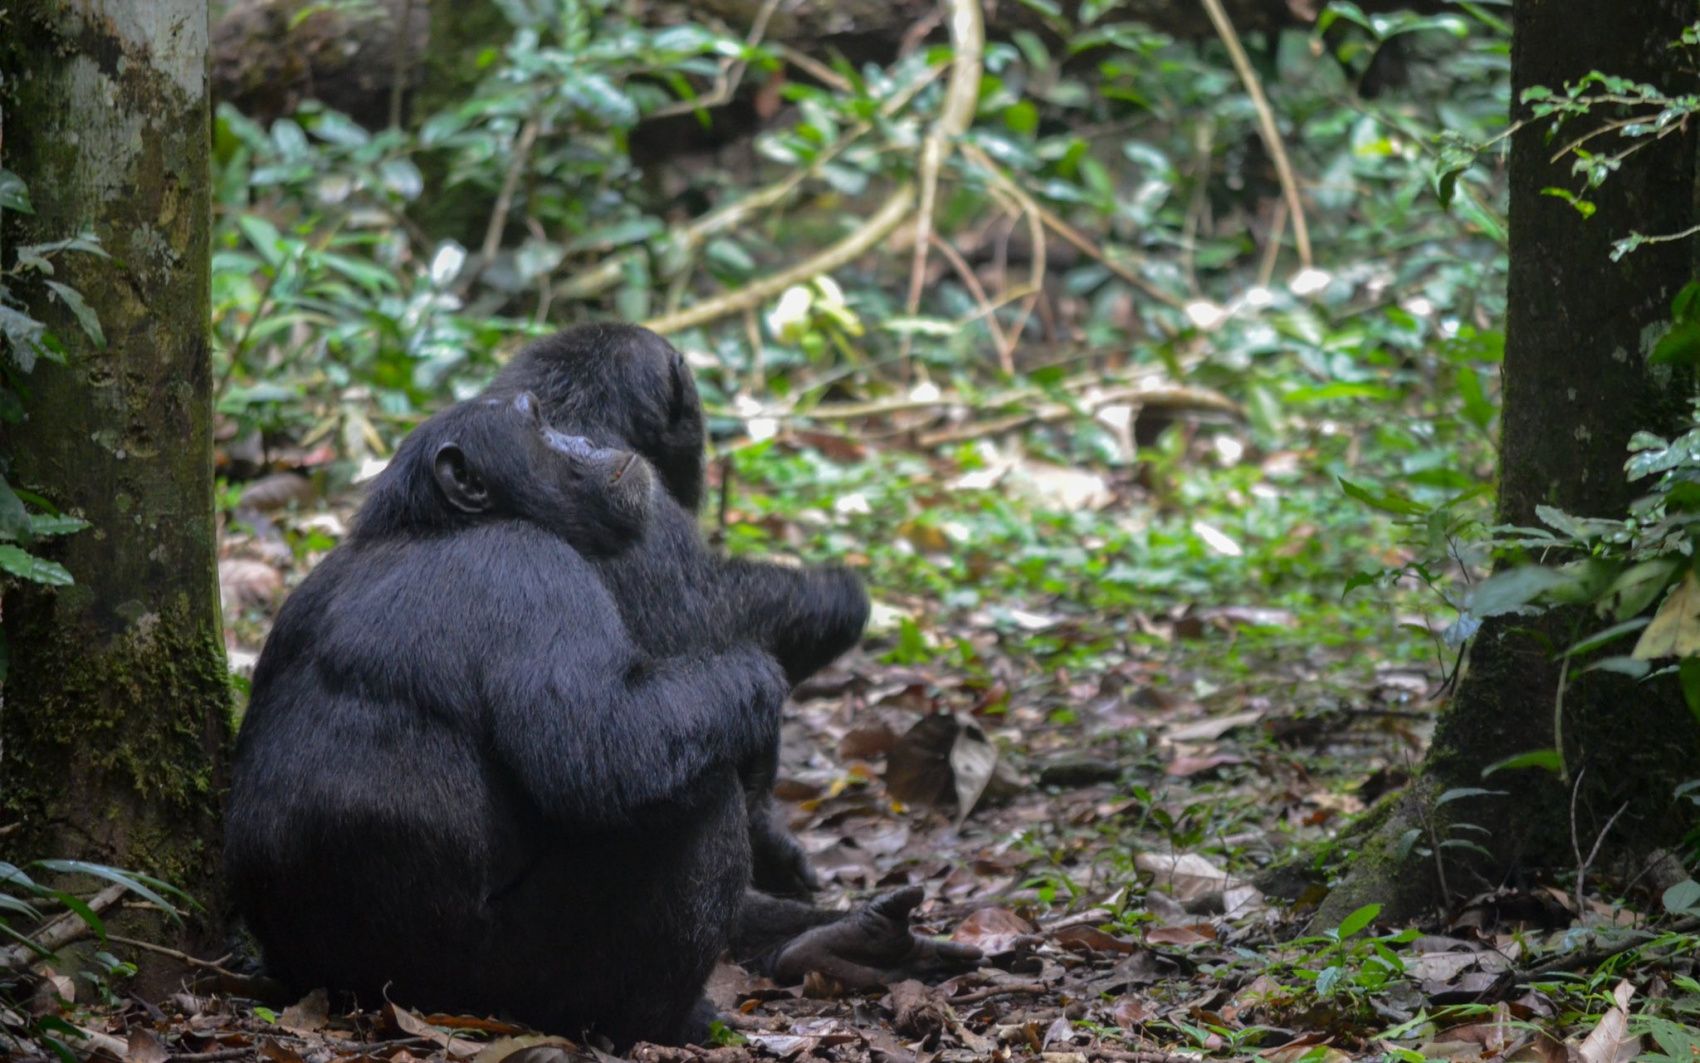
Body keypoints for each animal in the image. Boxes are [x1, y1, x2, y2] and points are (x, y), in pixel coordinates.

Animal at [226, 389, 979, 1047]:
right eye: (536, 425)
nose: (583, 439)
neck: (435, 523)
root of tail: (337, 988)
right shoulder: (531, 571)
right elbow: (606, 747)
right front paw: (759, 673)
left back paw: (851, 941)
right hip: (505, 980)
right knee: (691, 803)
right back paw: (669, 1020)